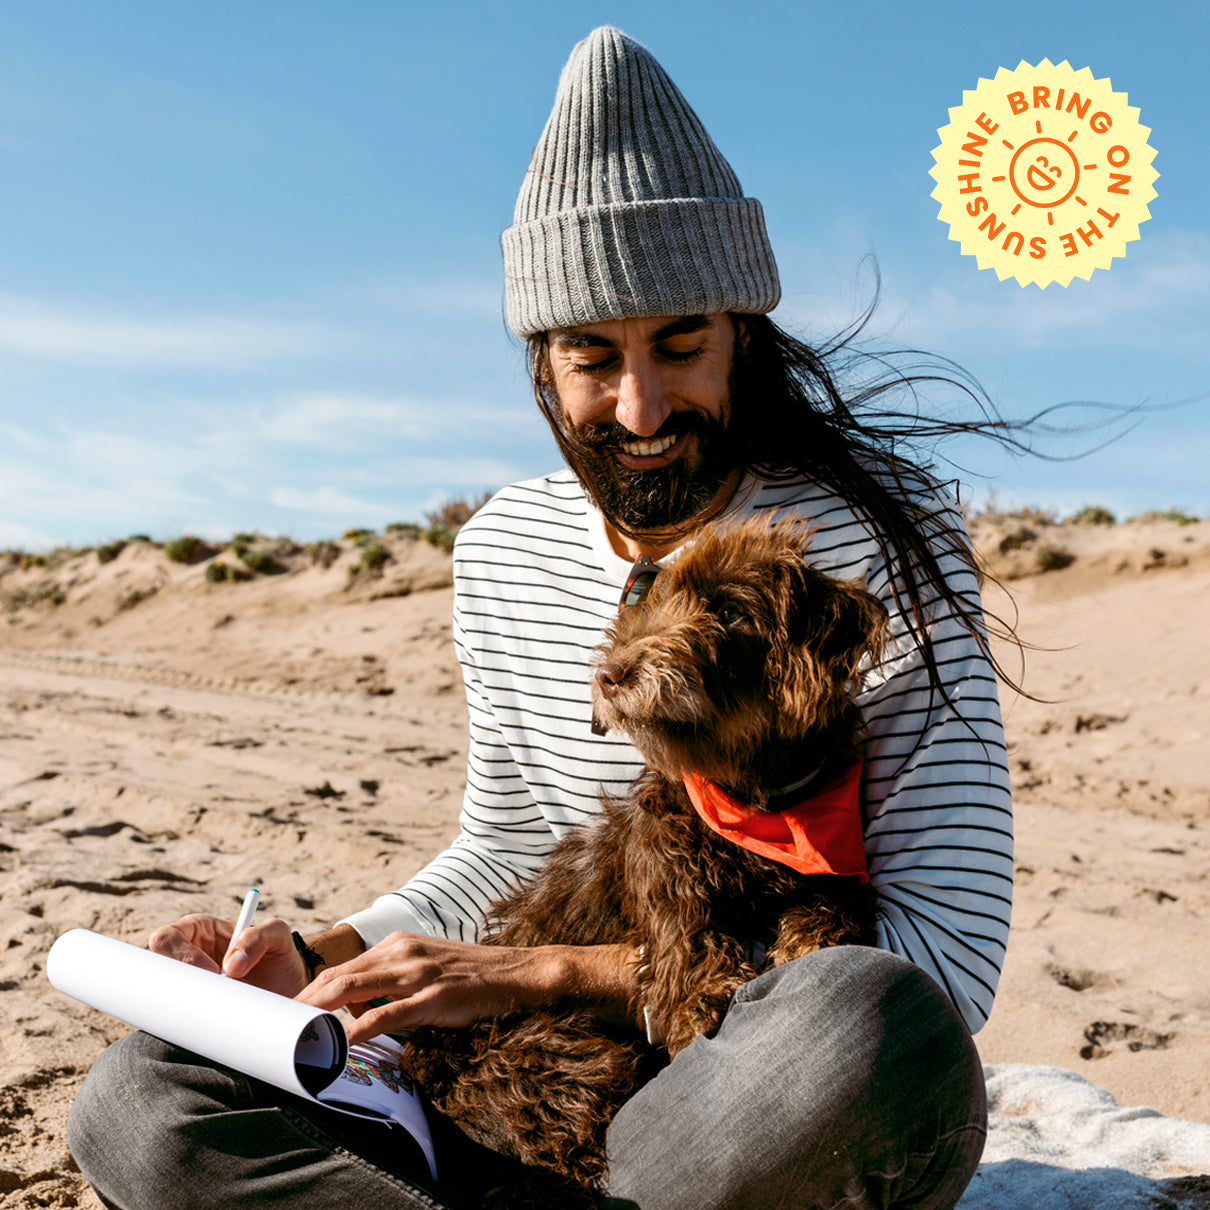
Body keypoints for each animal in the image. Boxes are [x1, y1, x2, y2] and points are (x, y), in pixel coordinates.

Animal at [401, 517, 885, 1200]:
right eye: (651, 605)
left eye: (729, 612)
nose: (610, 674)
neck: (754, 799)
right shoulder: (665, 876)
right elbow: (688, 940)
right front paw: (705, 998)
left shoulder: (838, 858)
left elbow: (837, 896)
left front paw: (807, 939)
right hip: (563, 1065)